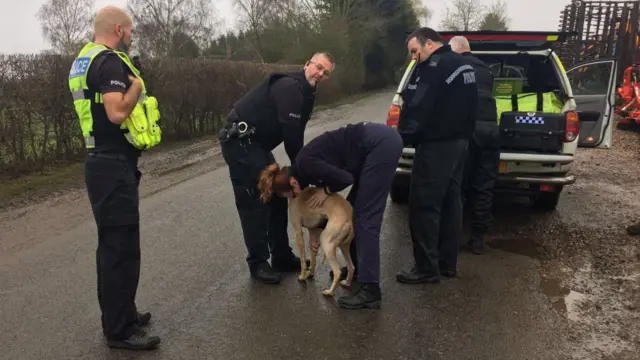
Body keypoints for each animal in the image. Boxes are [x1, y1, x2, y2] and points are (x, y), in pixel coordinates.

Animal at [258, 165, 356, 296]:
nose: (266, 197)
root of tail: (348, 220)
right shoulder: (313, 231)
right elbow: (313, 257)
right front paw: (310, 273)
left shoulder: (298, 231)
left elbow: (303, 260)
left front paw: (303, 276)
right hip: (344, 246)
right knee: (351, 267)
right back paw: (347, 283)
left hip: (328, 243)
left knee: (337, 272)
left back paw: (329, 292)